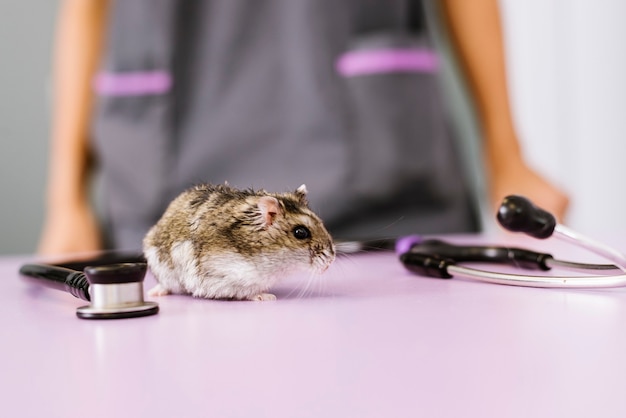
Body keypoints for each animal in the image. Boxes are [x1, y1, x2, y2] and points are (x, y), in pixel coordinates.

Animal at [143, 183, 336, 300]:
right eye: (300, 233)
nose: (331, 260)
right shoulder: (226, 275)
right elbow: (246, 292)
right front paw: (267, 297)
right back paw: (154, 293)